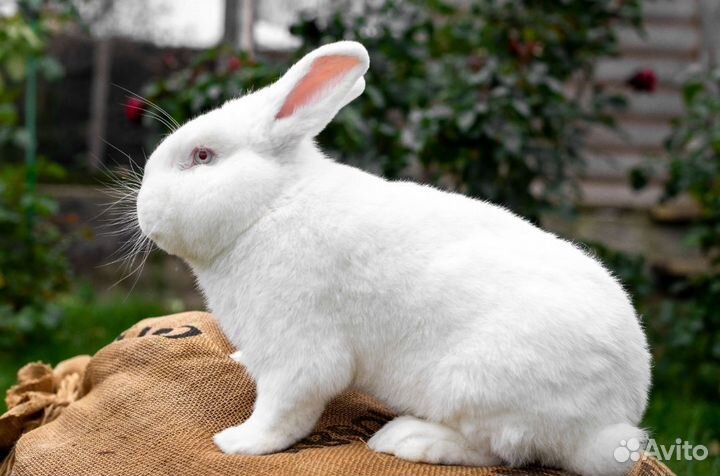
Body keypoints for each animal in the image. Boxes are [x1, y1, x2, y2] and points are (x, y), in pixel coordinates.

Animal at [136, 41, 651, 476]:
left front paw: (239, 442)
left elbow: (286, 408)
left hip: (476, 386)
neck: (268, 206)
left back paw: (408, 439)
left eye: (203, 156)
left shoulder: (298, 347)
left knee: (500, 448)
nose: (143, 211)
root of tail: (612, 419)